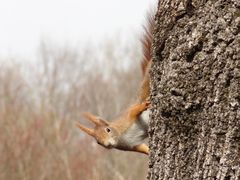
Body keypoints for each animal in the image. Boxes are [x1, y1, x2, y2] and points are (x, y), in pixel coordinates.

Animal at [76, 13, 153, 155]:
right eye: (97, 141)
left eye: (108, 130)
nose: (107, 144)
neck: (120, 138)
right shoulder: (132, 146)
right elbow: (143, 148)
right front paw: (149, 152)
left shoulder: (127, 120)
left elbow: (134, 111)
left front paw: (143, 106)